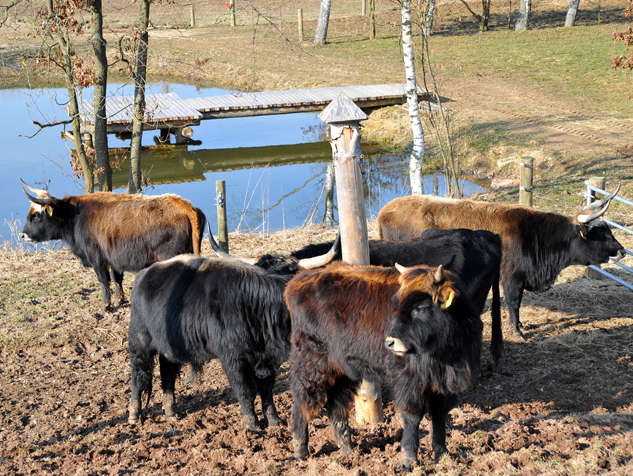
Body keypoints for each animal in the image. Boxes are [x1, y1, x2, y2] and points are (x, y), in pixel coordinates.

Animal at [20, 180, 205, 310]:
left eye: (36, 216)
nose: (23, 235)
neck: (74, 216)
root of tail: (182, 204)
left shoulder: (97, 258)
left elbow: (103, 280)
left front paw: (105, 305)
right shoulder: (115, 258)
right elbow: (117, 279)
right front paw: (120, 300)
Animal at [125, 232, 338, 430]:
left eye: (291, 274)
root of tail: (145, 273)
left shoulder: (267, 360)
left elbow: (266, 390)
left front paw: (274, 421)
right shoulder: (232, 358)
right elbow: (245, 390)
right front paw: (251, 425)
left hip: (168, 346)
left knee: (167, 374)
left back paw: (171, 412)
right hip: (139, 340)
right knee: (139, 375)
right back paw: (134, 415)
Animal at [284, 264, 482, 472]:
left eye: (421, 308)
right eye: (397, 306)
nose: (390, 342)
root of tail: (299, 281)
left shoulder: (445, 385)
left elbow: (439, 415)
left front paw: (442, 454)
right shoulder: (409, 381)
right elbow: (413, 416)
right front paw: (408, 460)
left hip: (342, 372)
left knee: (335, 407)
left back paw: (349, 452)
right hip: (311, 365)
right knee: (303, 402)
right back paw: (300, 452)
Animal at [372, 186, 624, 338]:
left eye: (609, 230)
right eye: (601, 234)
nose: (622, 251)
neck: (532, 235)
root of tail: (386, 209)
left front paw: (520, 326)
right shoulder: (511, 277)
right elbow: (514, 303)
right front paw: (517, 331)